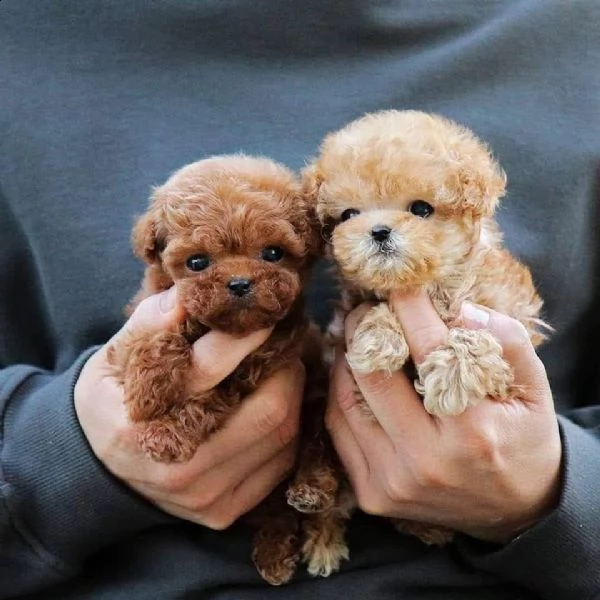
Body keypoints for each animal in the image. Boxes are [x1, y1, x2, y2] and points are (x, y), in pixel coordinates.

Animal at [298, 111, 552, 572]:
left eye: (421, 209)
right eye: (348, 214)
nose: (379, 231)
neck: (426, 285)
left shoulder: (509, 316)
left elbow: (475, 327)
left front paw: (453, 373)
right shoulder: (349, 316)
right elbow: (375, 308)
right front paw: (379, 338)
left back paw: (427, 525)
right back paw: (320, 523)